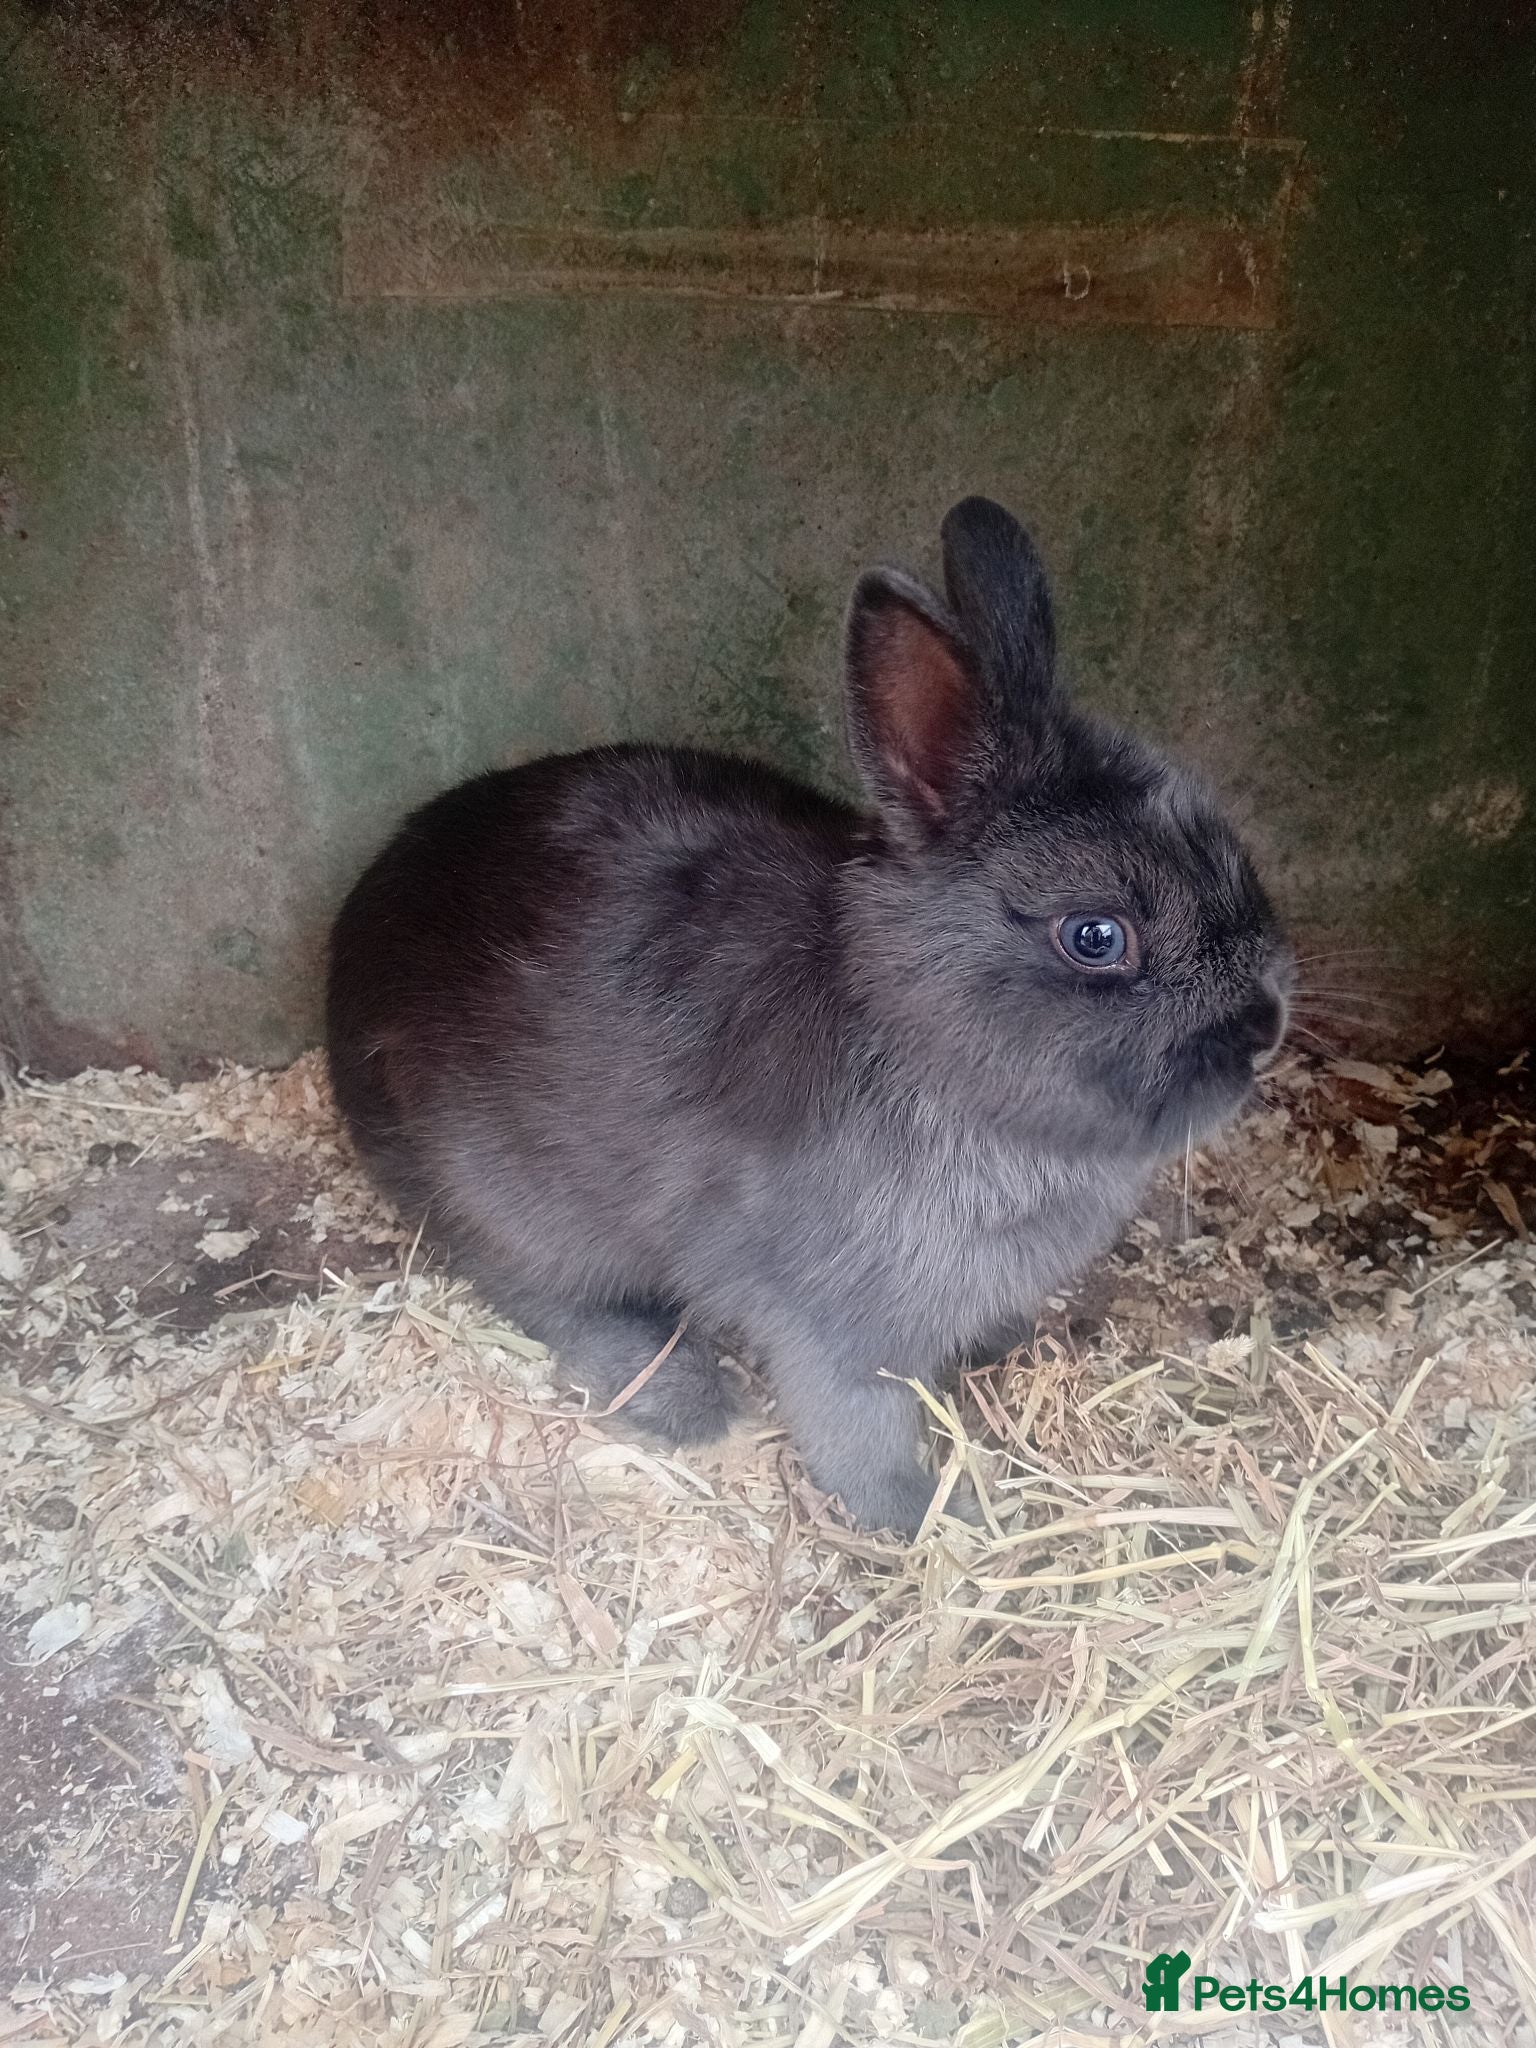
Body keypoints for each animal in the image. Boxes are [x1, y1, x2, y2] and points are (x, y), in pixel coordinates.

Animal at [327, 496, 1292, 1537]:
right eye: (1097, 936)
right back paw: (686, 1402)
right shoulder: (834, 1329)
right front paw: (931, 1517)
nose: (1265, 1029)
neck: (923, 1050)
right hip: (515, 1204)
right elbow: (857, 1430)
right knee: (541, 1294)